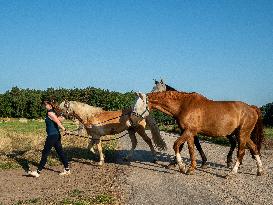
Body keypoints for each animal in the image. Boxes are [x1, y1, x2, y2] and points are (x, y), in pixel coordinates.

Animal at [132, 90, 264, 177]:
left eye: (138, 105)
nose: (132, 120)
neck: (183, 105)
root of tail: (252, 108)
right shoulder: (190, 133)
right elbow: (191, 149)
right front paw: (191, 168)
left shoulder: (188, 131)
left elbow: (176, 145)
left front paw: (182, 167)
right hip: (244, 135)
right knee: (254, 148)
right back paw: (260, 171)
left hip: (242, 134)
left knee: (241, 152)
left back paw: (232, 172)